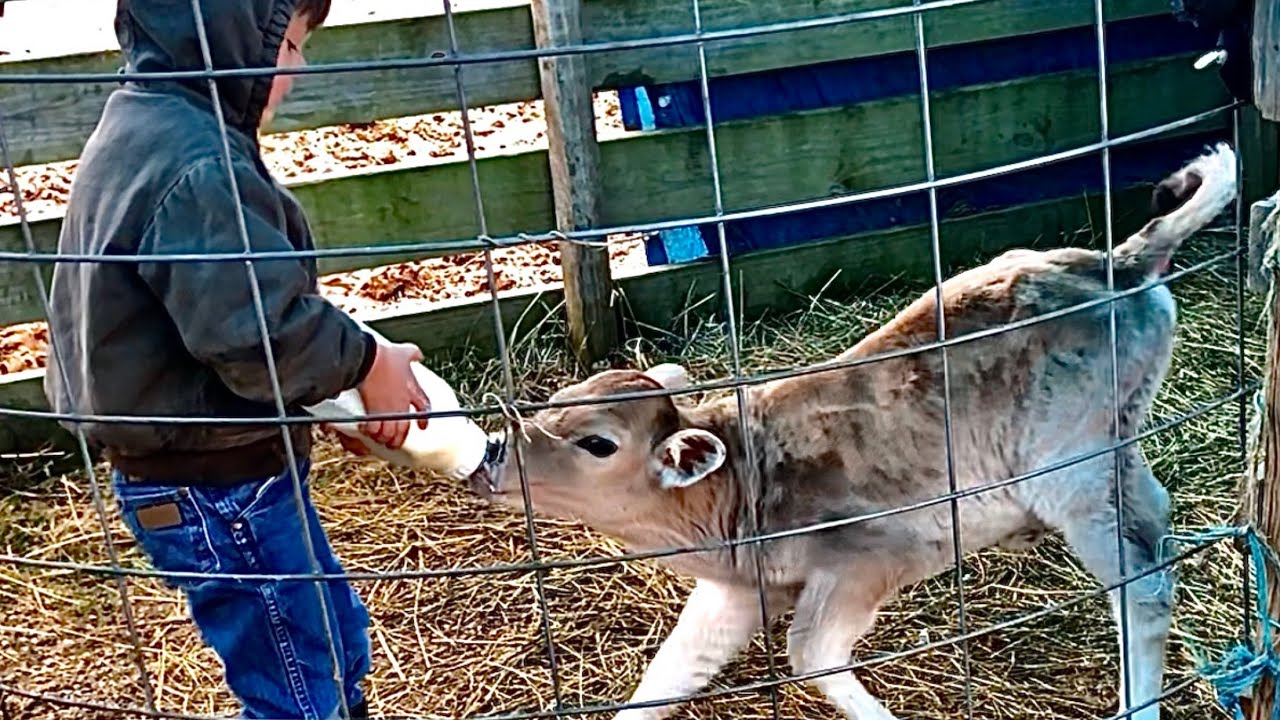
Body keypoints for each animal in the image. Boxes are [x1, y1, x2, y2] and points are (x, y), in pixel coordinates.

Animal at [468, 143, 1239, 720]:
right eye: (554, 402)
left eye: (597, 442)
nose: (498, 453)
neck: (738, 486)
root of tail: (1120, 262)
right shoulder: (738, 591)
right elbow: (671, 671)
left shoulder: (870, 557)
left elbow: (809, 655)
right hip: (1113, 454)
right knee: (1160, 528)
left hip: (1072, 469)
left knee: (1142, 584)